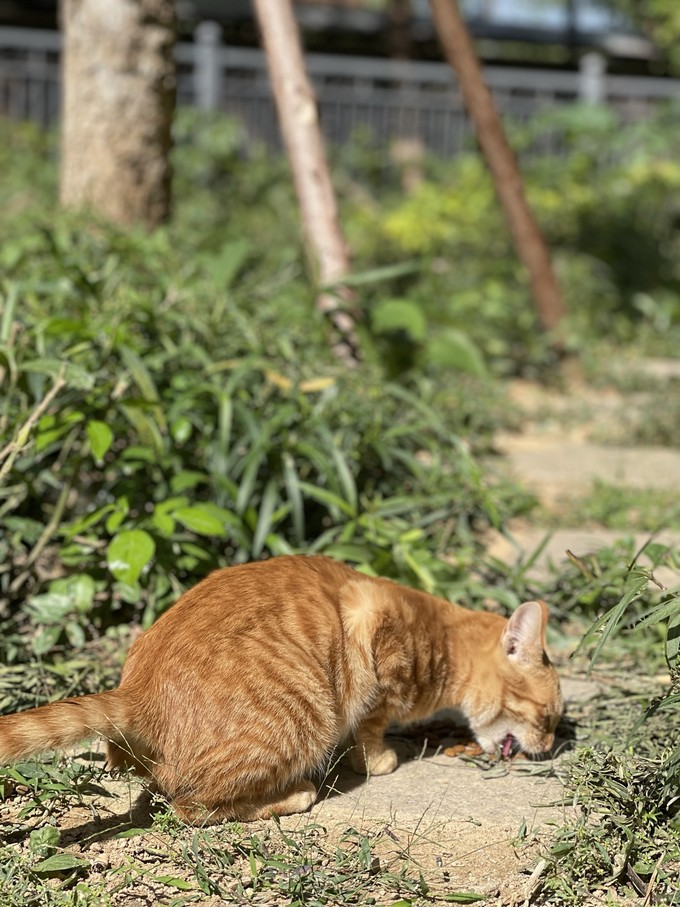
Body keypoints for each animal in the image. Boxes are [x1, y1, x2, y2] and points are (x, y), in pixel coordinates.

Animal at [0, 556, 564, 828]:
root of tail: (138, 691)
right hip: (303, 720)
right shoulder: (375, 655)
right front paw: (382, 759)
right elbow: (371, 729)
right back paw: (294, 795)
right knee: (191, 808)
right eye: (549, 717)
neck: (438, 634)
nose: (548, 748)